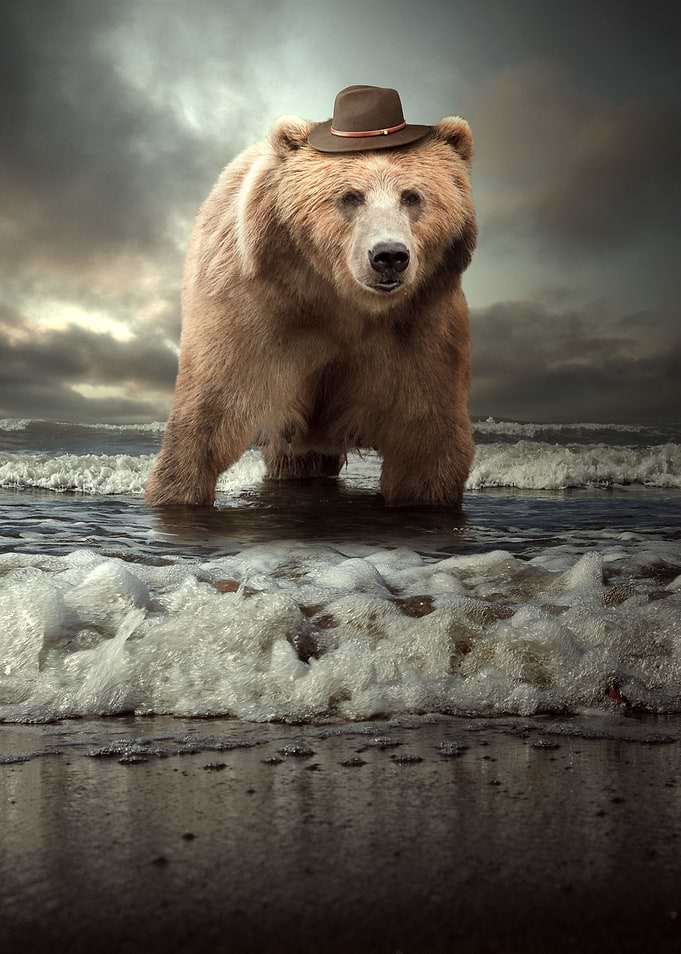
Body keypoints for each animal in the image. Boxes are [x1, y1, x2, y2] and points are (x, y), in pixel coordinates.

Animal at [144, 112, 477, 509]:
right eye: (350, 197)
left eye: (412, 196)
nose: (389, 256)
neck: (339, 300)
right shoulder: (251, 314)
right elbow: (209, 415)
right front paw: (177, 488)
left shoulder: (422, 329)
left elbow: (425, 442)